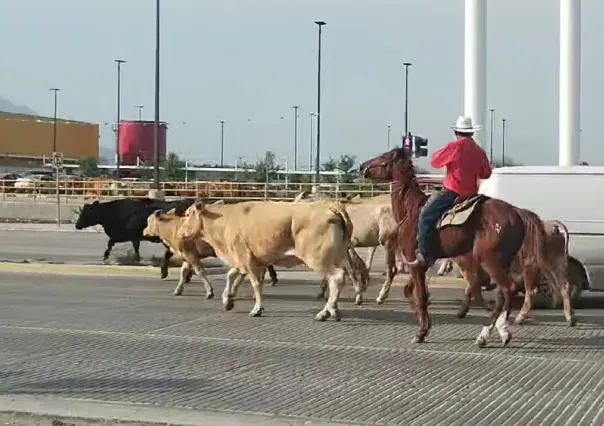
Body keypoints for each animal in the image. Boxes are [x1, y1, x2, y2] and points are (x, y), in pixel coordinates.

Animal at [178, 200, 358, 320]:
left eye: (187, 214)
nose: (180, 233)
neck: (225, 220)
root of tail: (330, 206)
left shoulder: (246, 258)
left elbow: (256, 284)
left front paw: (257, 308)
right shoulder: (246, 260)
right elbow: (230, 275)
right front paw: (227, 300)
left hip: (318, 258)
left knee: (336, 277)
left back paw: (325, 312)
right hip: (337, 256)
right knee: (337, 279)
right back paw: (332, 310)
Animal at [360, 148, 528, 348]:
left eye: (384, 156)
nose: (361, 167)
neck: (411, 211)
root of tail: (516, 213)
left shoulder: (414, 261)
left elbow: (421, 295)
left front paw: (421, 332)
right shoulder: (423, 263)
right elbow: (410, 291)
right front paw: (424, 323)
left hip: (489, 260)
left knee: (506, 289)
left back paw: (490, 333)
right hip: (502, 262)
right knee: (503, 293)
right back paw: (496, 331)